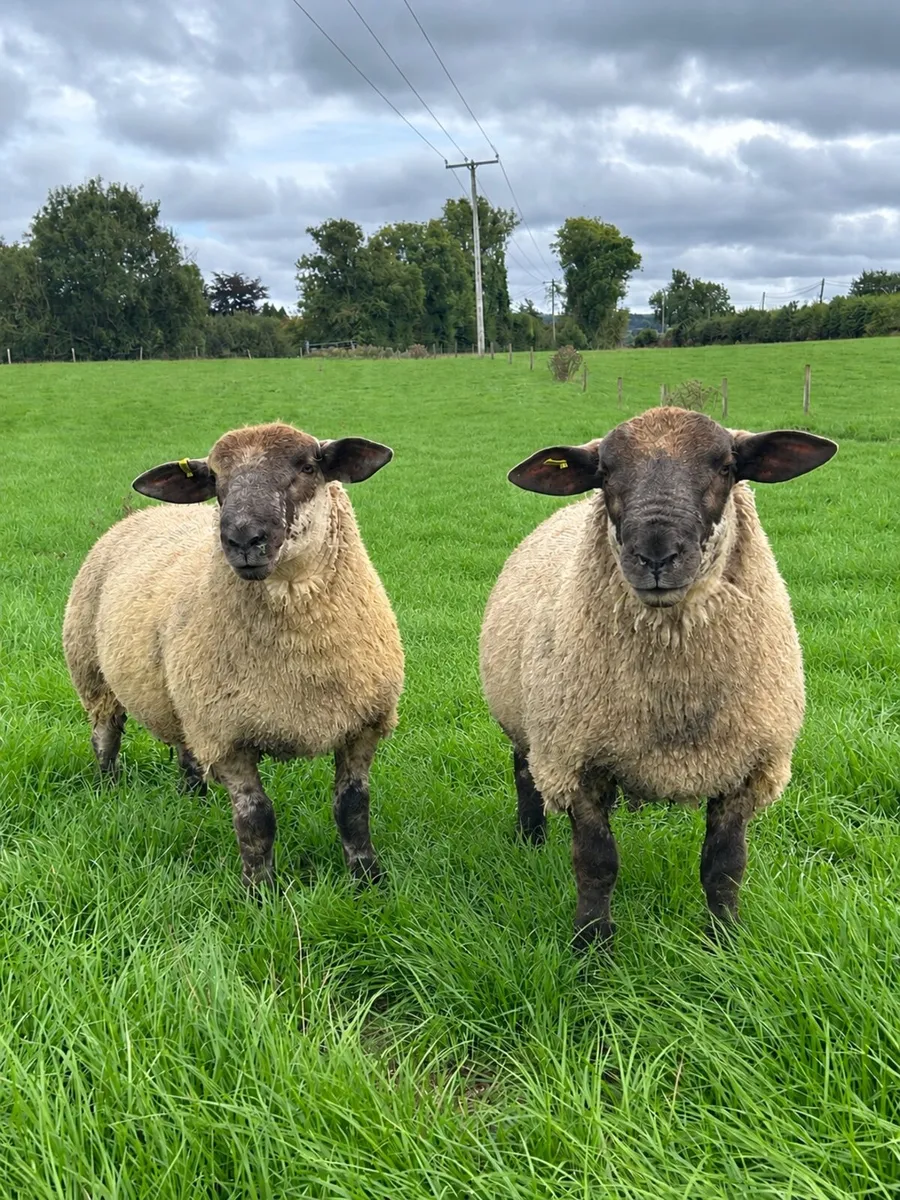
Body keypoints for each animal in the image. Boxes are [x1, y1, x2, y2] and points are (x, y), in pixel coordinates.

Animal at [63, 422, 404, 888]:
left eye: (308, 466)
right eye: (215, 480)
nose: (242, 539)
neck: (300, 657)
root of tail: (143, 514)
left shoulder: (363, 725)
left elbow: (352, 809)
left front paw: (368, 880)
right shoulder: (227, 736)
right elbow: (256, 820)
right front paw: (260, 891)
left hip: (186, 698)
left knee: (186, 750)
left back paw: (194, 800)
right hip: (93, 671)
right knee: (105, 735)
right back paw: (108, 788)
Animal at [479, 406, 837, 949]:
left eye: (726, 467)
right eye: (604, 473)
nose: (655, 556)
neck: (674, 697)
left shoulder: (746, 767)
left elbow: (725, 866)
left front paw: (724, 942)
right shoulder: (576, 760)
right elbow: (596, 865)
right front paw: (592, 948)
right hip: (529, 720)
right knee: (525, 775)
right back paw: (531, 840)